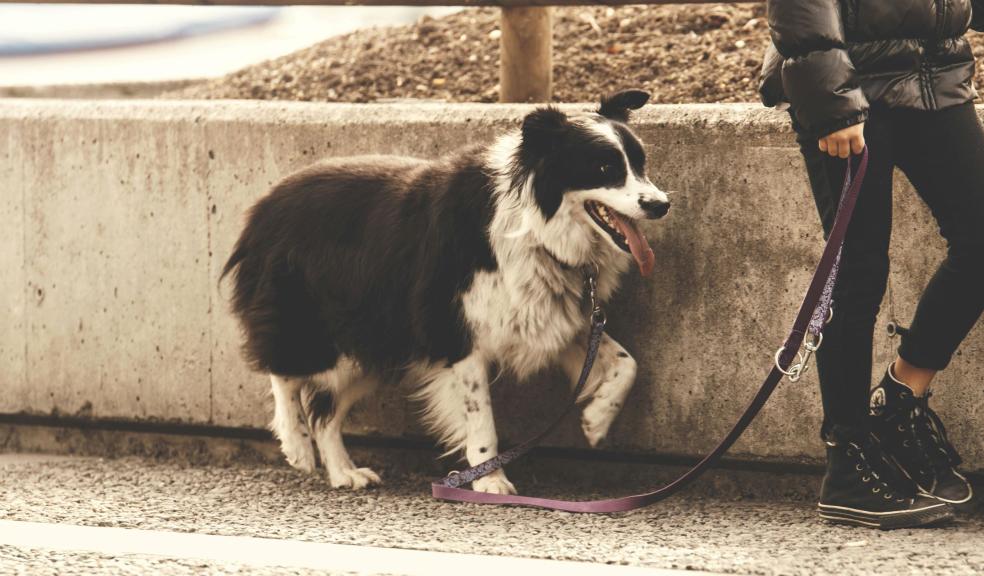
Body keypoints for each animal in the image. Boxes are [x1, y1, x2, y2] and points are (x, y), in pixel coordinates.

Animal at [223, 91, 668, 496]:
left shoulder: (550, 316)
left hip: (374, 341)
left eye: (640, 164)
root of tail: (261, 208)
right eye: (604, 167)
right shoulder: (458, 332)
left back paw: (344, 472)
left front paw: (596, 420)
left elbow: (627, 363)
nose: (661, 204)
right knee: (283, 372)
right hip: (315, 320)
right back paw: (297, 445)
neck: (535, 227)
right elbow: (480, 416)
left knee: (325, 412)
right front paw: (490, 481)